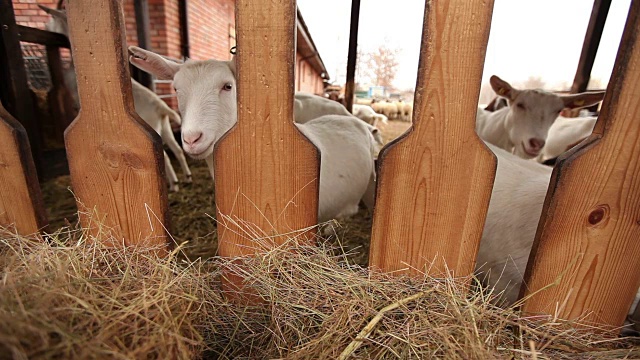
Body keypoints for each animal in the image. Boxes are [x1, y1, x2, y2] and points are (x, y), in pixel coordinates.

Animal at [38, 4, 190, 191]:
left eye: (51, 17)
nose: (45, 27)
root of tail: (160, 106)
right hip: (165, 126)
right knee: (177, 150)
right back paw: (187, 177)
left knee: (165, 156)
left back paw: (174, 185)